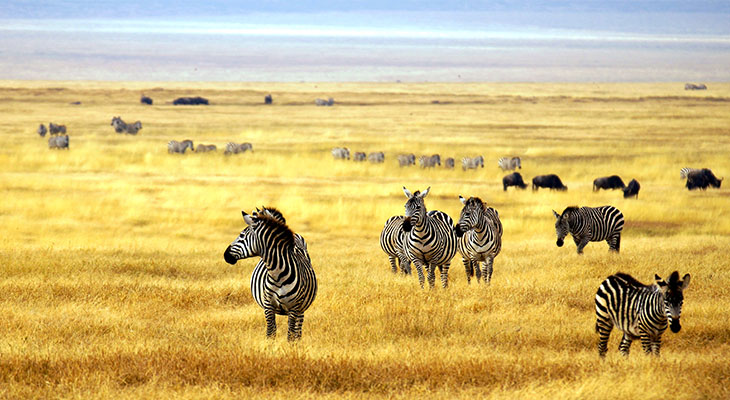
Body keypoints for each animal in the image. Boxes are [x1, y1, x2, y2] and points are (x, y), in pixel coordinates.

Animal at [223, 209, 318, 340]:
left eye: (241, 235)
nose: (225, 255)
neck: (278, 275)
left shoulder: (294, 308)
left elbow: (290, 335)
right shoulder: (268, 305)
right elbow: (270, 332)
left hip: (301, 308)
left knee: (298, 332)